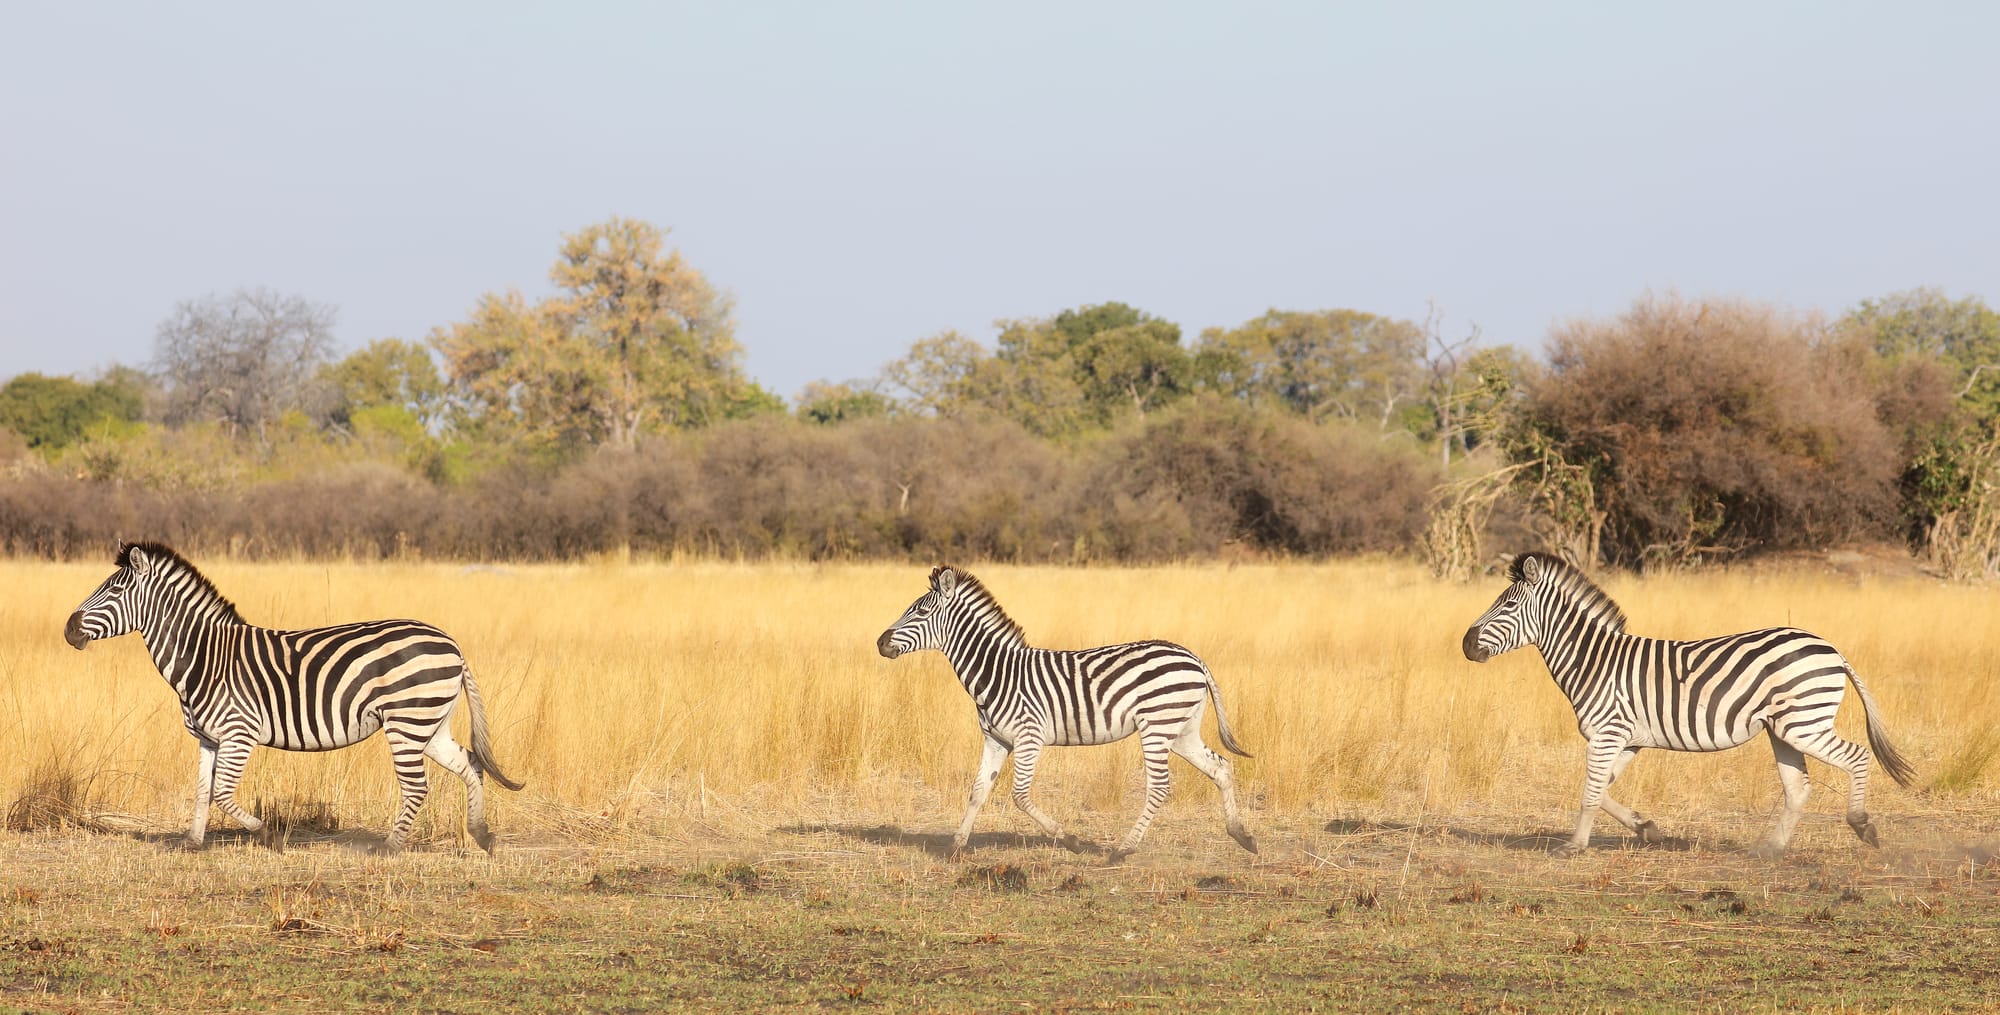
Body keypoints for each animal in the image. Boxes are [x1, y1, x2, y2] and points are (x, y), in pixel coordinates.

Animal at [65, 543, 524, 851]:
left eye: (113, 592)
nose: (69, 629)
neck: (205, 655)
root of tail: (454, 646)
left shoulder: (239, 733)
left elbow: (222, 794)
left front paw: (268, 834)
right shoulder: (208, 738)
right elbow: (201, 790)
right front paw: (193, 843)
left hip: (406, 722)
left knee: (417, 785)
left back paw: (390, 847)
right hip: (428, 723)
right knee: (470, 764)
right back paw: (481, 835)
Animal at [872, 567, 1248, 859]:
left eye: (920, 614)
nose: (880, 643)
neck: (998, 672)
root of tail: (1192, 657)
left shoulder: (1029, 738)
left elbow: (1020, 796)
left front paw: (1071, 840)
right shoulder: (996, 740)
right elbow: (978, 791)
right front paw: (955, 847)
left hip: (1157, 726)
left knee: (1158, 788)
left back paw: (1122, 850)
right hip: (1180, 729)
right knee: (1221, 767)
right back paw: (1243, 836)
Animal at [1464, 555, 1912, 855]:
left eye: (1507, 605)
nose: (1466, 645)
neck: (1595, 660)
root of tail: (1831, 648)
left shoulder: (1607, 732)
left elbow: (1590, 792)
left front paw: (1574, 846)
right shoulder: (1627, 738)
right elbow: (1602, 789)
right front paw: (1646, 828)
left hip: (1803, 723)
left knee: (1856, 756)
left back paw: (1862, 826)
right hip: (1782, 728)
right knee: (1798, 788)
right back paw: (1770, 849)